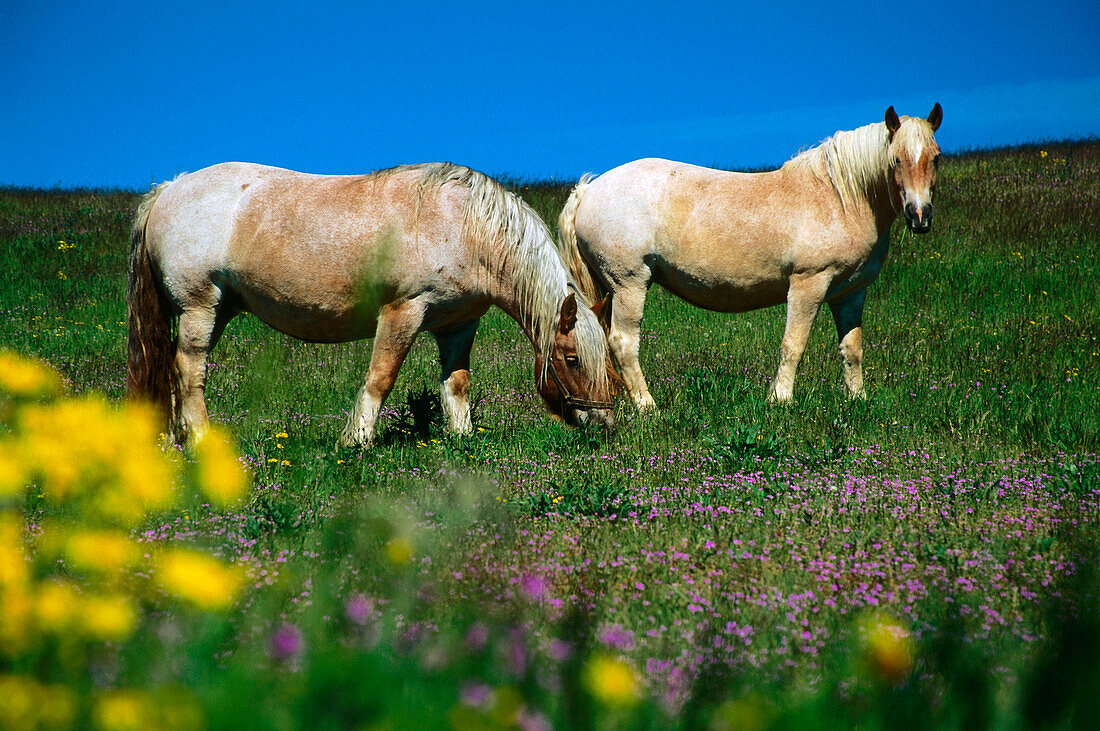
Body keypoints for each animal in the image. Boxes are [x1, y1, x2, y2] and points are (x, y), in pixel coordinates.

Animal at [126, 161, 620, 444]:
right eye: (572, 359)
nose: (604, 427)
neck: (464, 224)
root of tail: (168, 189)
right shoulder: (404, 312)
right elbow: (380, 379)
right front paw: (356, 442)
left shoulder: (458, 325)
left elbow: (457, 385)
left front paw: (463, 441)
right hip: (198, 308)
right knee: (189, 374)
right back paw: (200, 439)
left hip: (218, 310)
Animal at [563, 103, 941, 411]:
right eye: (896, 159)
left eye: (935, 157)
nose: (920, 216)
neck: (840, 198)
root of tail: (589, 189)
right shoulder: (808, 284)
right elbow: (793, 344)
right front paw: (781, 399)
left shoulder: (850, 293)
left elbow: (852, 349)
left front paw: (857, 399)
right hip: (629, 284)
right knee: (623, 343)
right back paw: (647, 406)